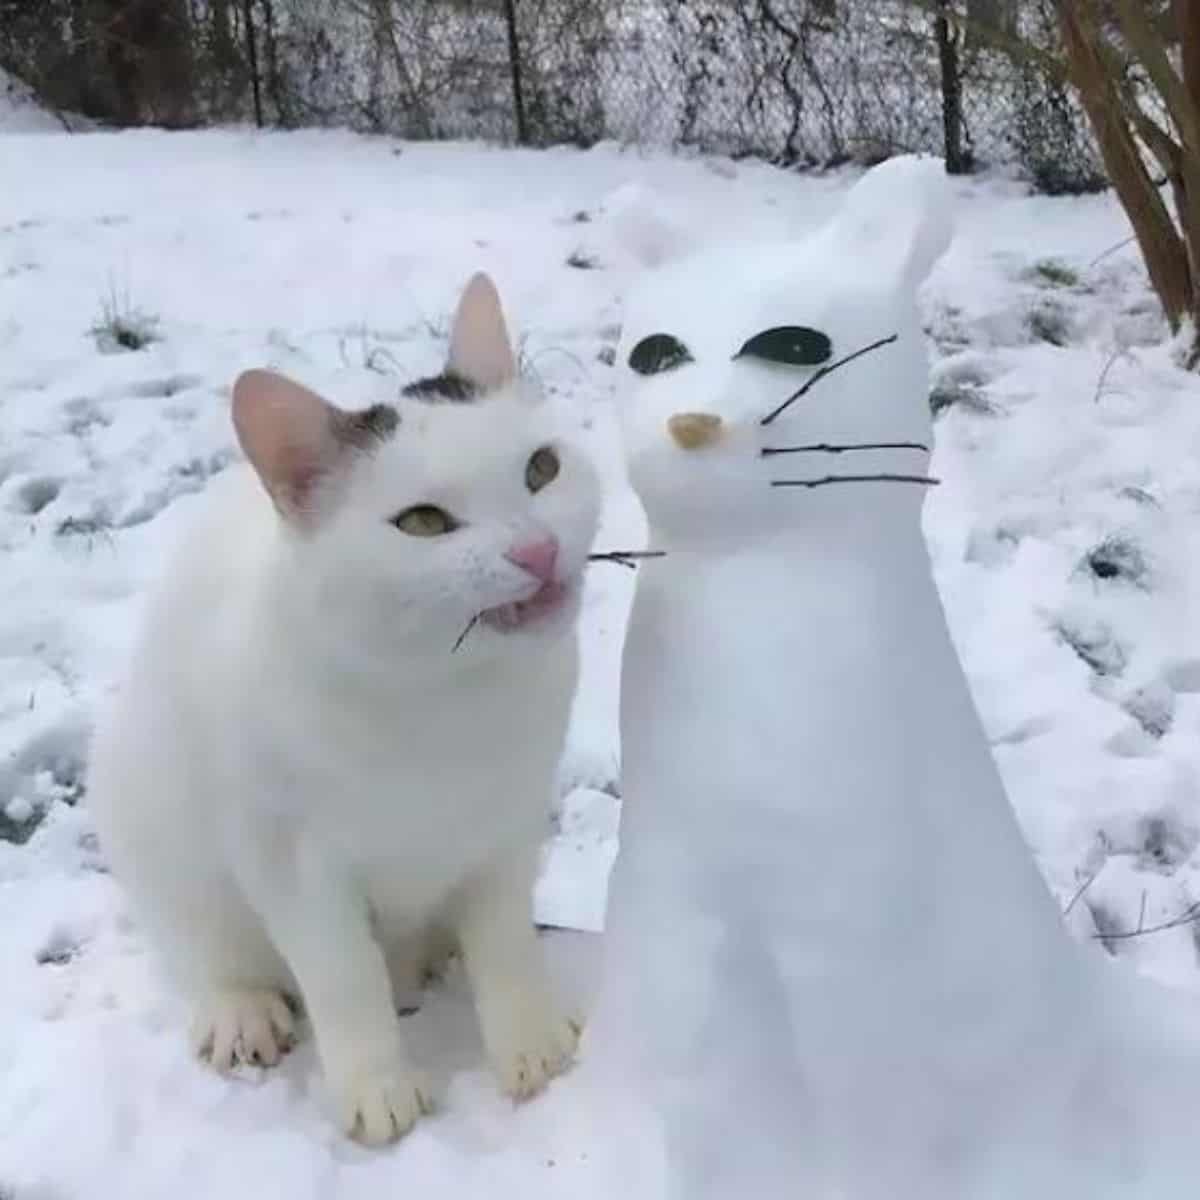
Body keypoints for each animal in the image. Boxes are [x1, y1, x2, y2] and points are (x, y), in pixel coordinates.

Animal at [87, 272, 600, 1142]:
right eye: (423, 522)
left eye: (541, 470)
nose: (538, 550)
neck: (445, 699)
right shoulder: (291, 860)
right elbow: (342, 975)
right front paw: (377, 1085)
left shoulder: (508, 825)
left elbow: (505, 940)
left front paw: (530, 1040)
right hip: (140, 801)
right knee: (203, 947)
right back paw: (241, 1009)